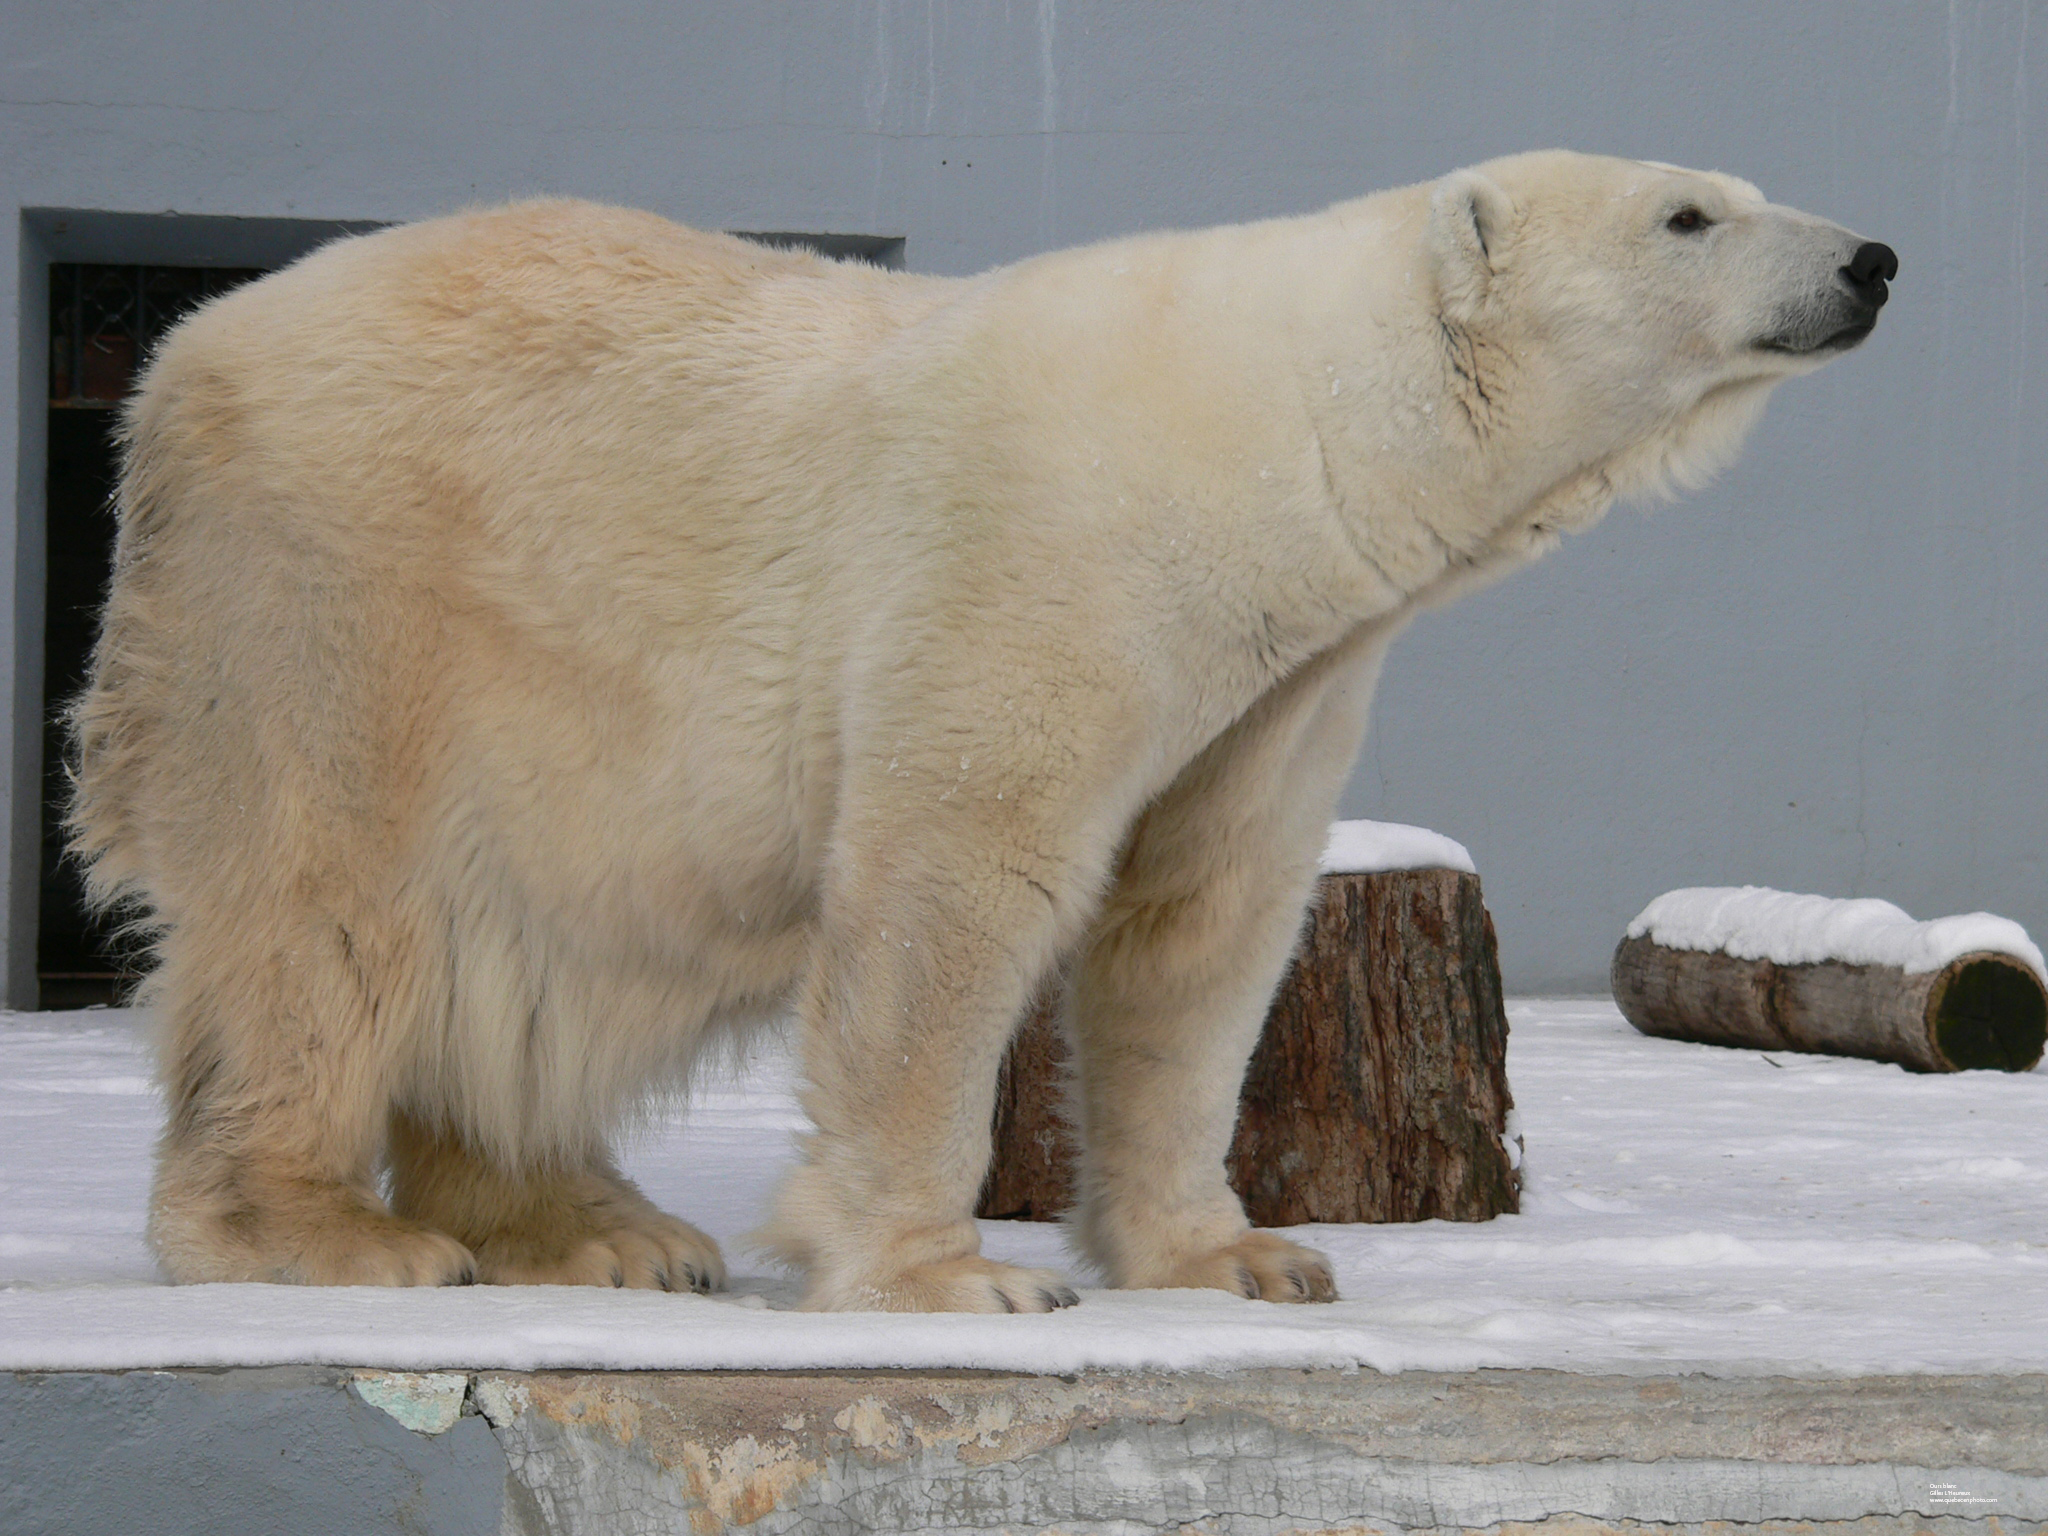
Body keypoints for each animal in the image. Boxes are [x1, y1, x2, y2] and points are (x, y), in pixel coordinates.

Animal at [75, 153, 1900, 1310]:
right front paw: (949, 1274)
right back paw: (327, 1234)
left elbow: (1201, 927)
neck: (1274, 430)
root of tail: (178, 360)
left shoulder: (1284, 673)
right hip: (348, 606)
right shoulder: (1039, 554)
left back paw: (606, 1233)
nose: (1872, 259)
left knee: (511, 956)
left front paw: (1239, 1257)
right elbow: (959, 880)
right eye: (1688, 211)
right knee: (324, 917)